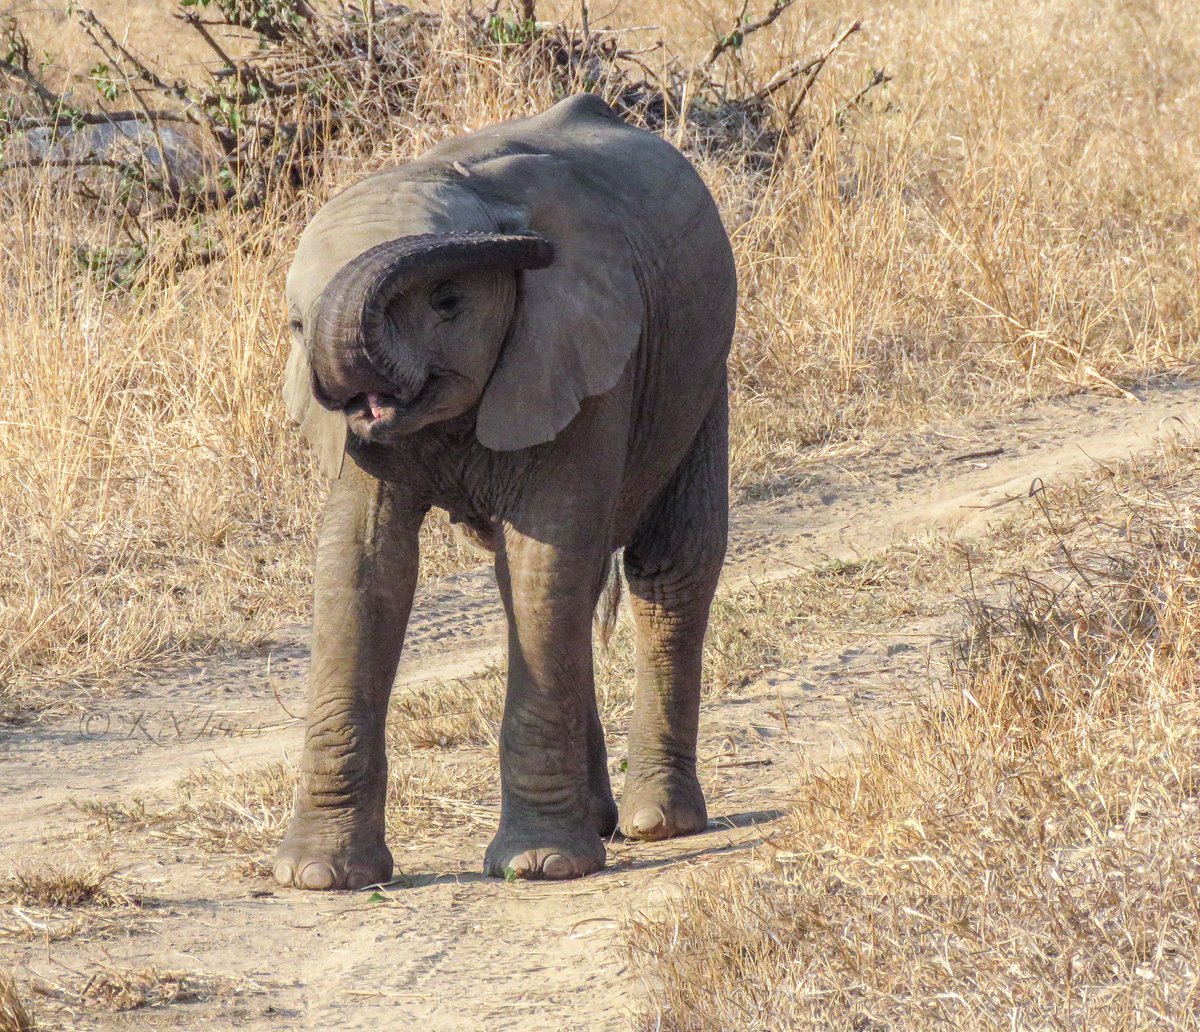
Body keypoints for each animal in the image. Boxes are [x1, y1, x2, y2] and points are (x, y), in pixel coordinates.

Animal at [273, 94, 736, 887]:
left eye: (448, 300)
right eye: (299, 326)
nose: (527, 244)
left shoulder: (583, 354)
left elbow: (544, 559)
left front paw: (541, 865)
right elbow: (360, 564)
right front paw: (318, 876)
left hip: (702, 371)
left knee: (666, 568)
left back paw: (656, 823)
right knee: (553, 580)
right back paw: (603, 819)